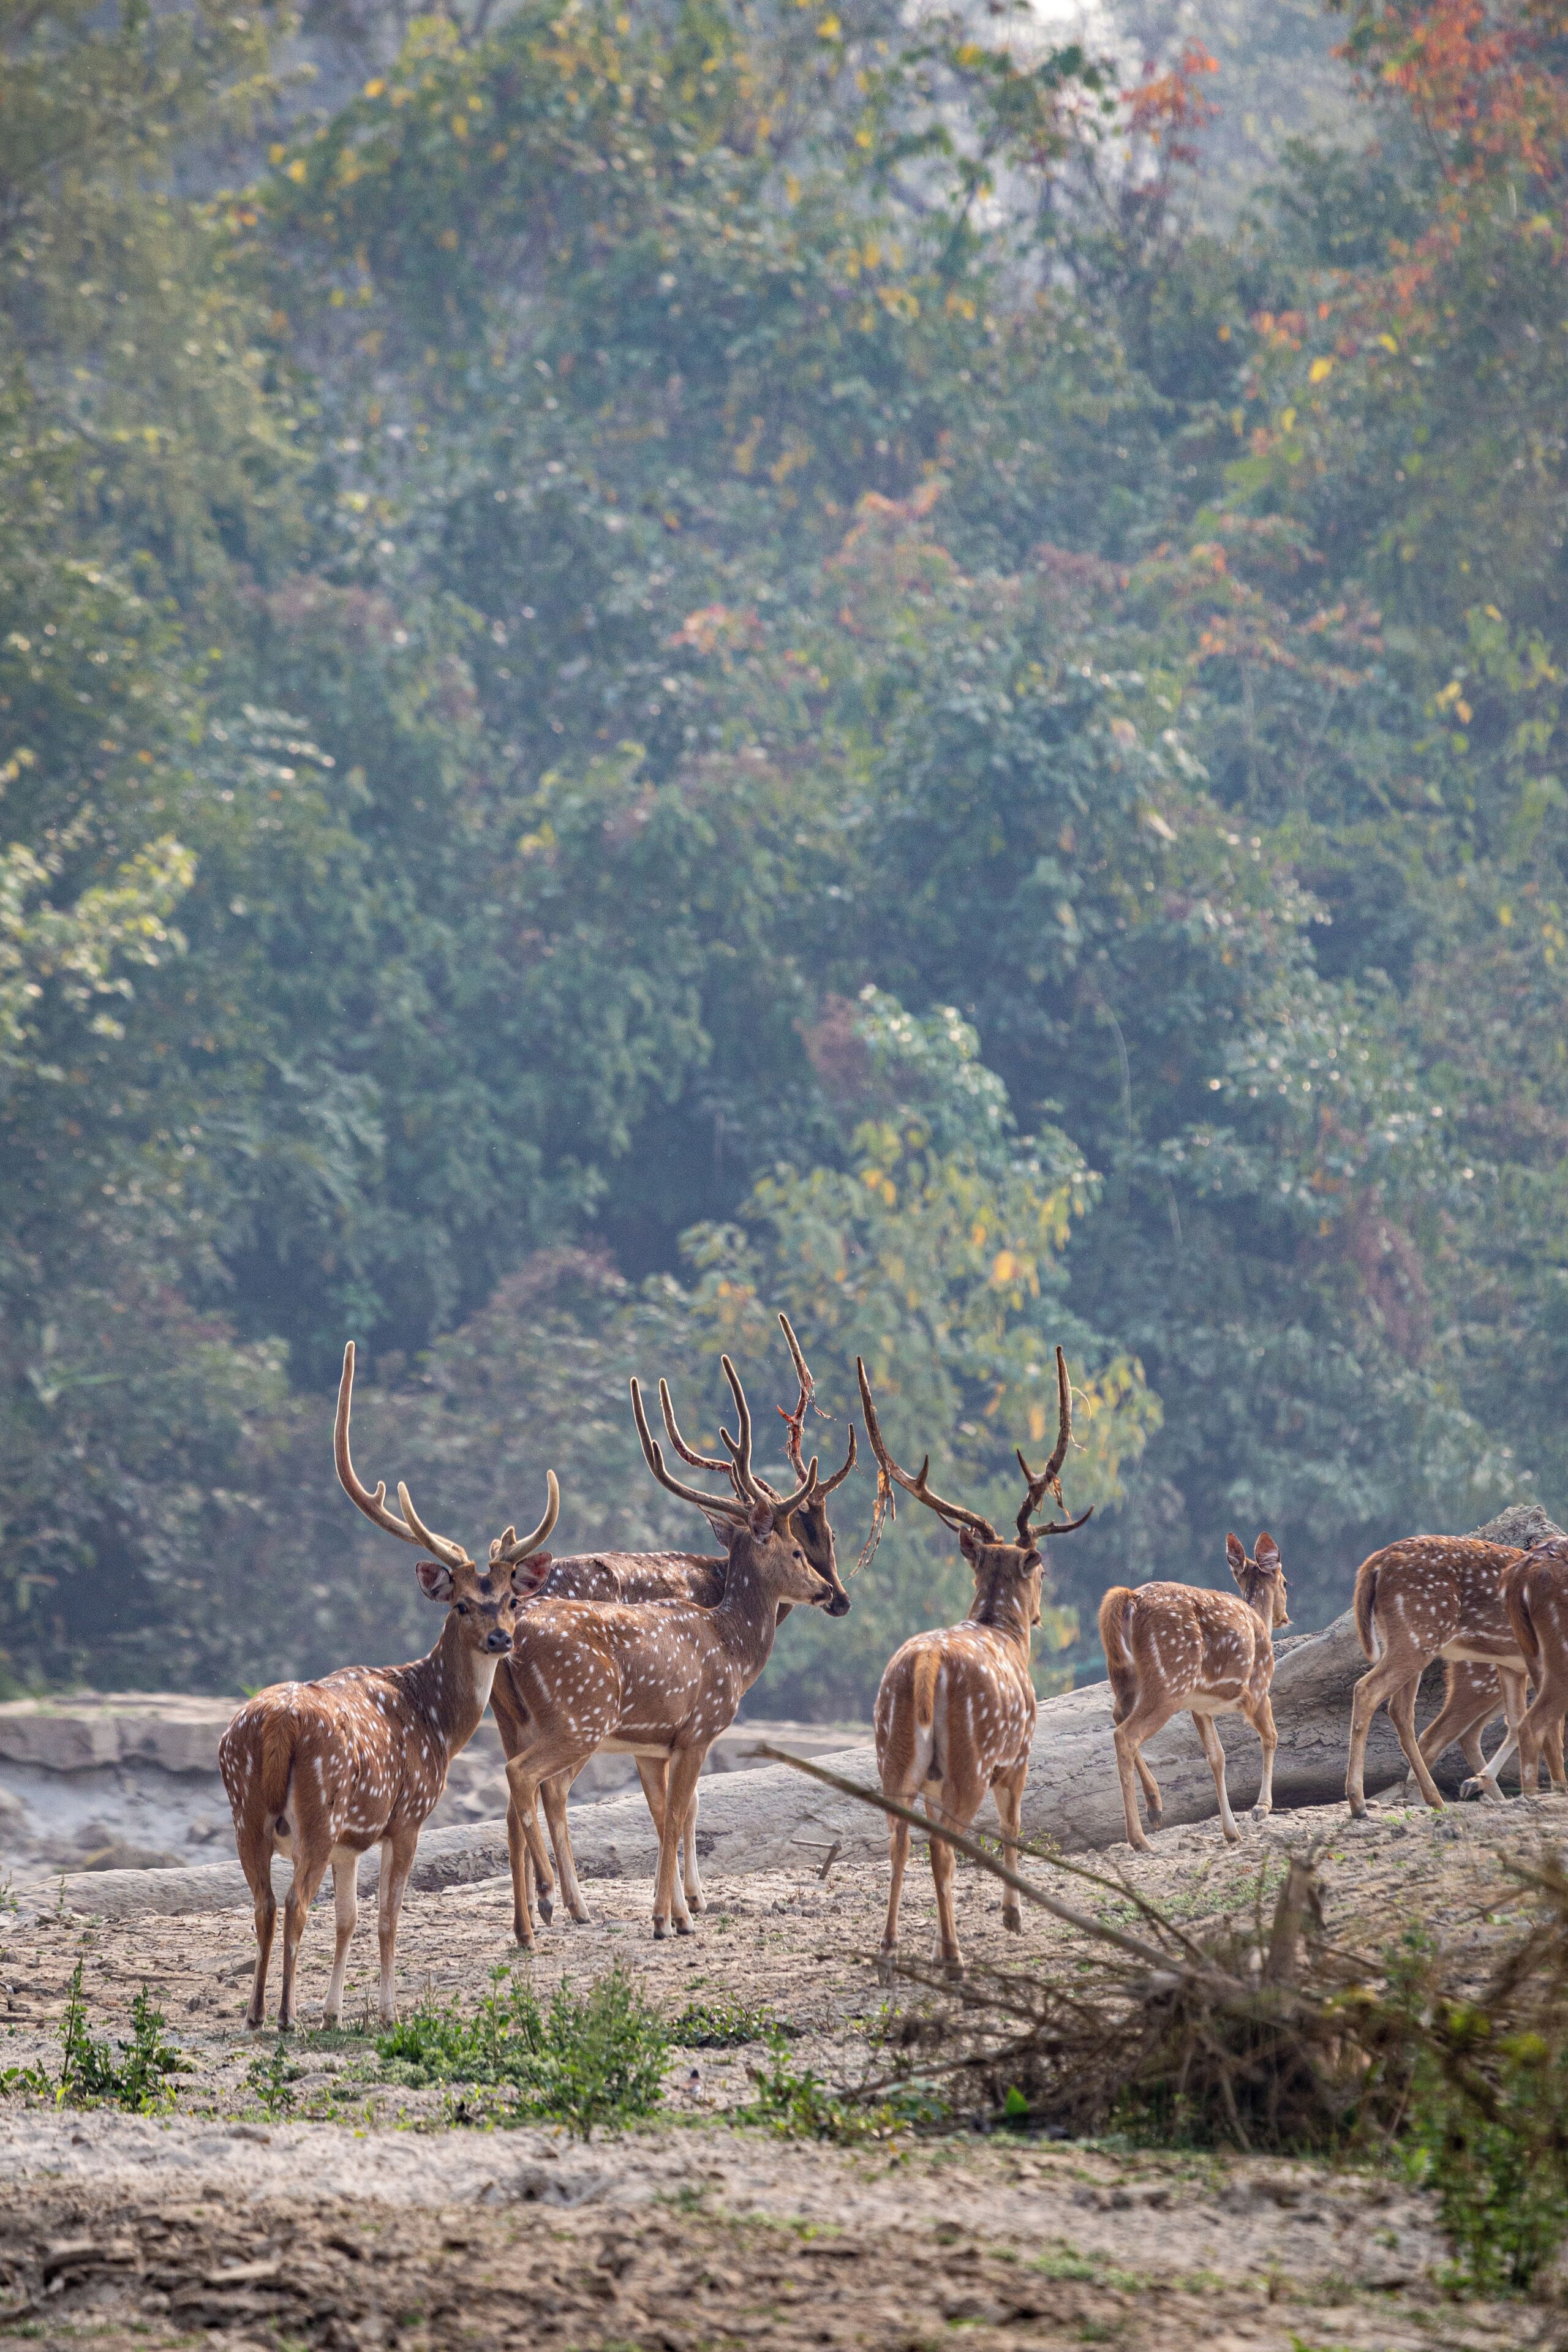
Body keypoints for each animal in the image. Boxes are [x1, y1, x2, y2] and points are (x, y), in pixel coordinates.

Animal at [217, 1342, 558, 2031]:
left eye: (511, 1600)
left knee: (263, 1905)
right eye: (460, 1603)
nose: (500, 1639)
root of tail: (276, 1724)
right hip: (317, 1810)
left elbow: (348, 1920)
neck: (437, 1722)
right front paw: (384, 2011)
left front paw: (334, 2011)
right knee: (294, 1905)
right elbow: (386, 1918)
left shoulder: (354, 1840)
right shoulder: (406, 1816)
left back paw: (257, 2013)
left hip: (244, 1807)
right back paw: (286, 2015)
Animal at [490, 1318, 856, 1942]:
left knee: (526, 1787)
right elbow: (682, 1812)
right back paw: (552, 1905)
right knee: (532, 1780)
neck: (732, 1644)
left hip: (519, 1716)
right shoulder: (697, 1728)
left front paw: (675, 1911)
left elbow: (667, 1814)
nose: (835, 1596)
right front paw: (676, 1915)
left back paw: (531, 1921)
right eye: (803, 1546)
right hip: (582, 1714)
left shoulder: (659, 1742)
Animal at [858, 1347, 1091, 1981]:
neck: (1001, 1631)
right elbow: (1014, 1827)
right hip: (972, 1760)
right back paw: (954, 1957)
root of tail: (927, 1664)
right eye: (1041, 1568)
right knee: (944, 1847)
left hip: (895, 1757)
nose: (1039, 1615)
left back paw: (890, 1952)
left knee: (898, 1839)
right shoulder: (1021, 1755)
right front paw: (1013, 1916)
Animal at [1099, 1532, 1290, 1855]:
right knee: (1126, 1735)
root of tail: (1131, 1599)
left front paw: (1231, 1832)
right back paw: (1140, 1839)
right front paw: (1261, 1808)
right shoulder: (1258, 1689)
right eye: (1286, 1583)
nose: (1285, 1617)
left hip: (1126, 1678)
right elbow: (1271, 1737)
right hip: (1171, 1681)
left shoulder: (1200, 1707)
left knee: (1117, 1717)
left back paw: (1155, 1807)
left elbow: (1217, 1757)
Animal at [1345, 1535, 1531, 1817]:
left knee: (1402, 1711)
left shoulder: (1516, 1666)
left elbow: (1521, 1723)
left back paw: (1437, 1797)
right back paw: (1359, 1802)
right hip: (1422, 1633)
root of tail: (1375, 1562)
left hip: (1411, 1639)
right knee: (1369, 1691)